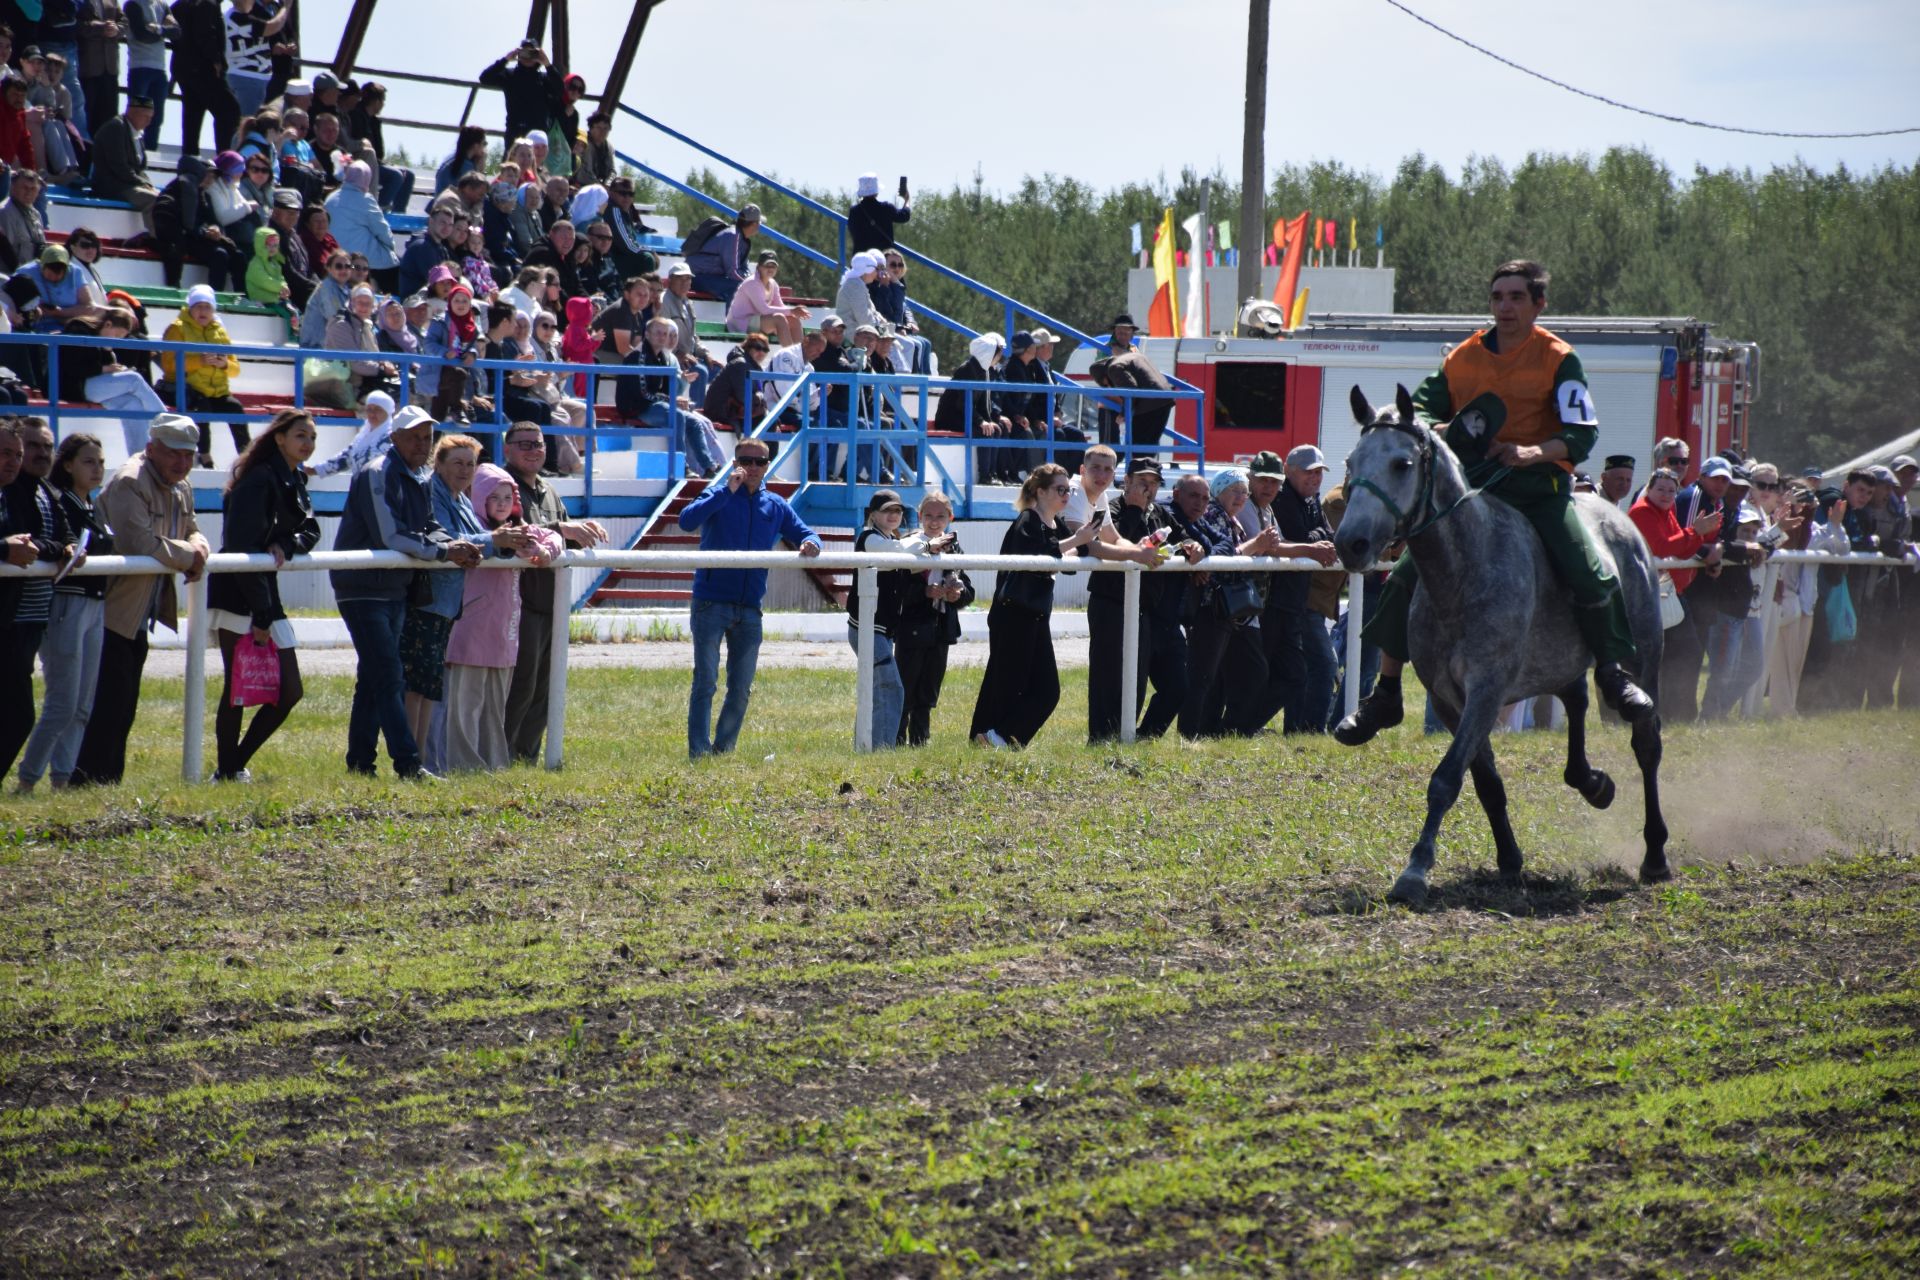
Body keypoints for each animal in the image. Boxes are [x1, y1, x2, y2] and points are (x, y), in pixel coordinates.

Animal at [1328, 385, 1674, 905]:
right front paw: (1509, 859)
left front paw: (1415, 870)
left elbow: (1446, 778)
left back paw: (1655, 853)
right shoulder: (1449, 701)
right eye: (1351, 463)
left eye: (1402, 464)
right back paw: (1590, 782)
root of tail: (1622, 519)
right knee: (1575, 698)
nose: (1351, 543)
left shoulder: (1487, 692)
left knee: (1645, 741)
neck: (1464, 571)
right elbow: (1485, 781)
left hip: (1644, 654)